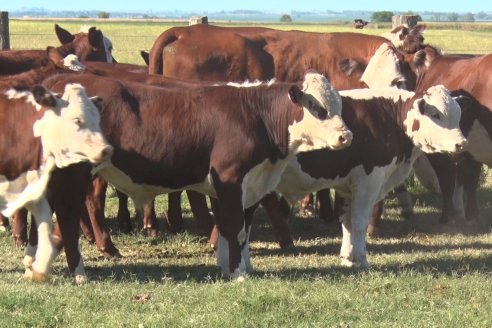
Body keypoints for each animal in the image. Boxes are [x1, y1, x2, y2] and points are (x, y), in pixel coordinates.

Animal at [41, 70, 350, 278]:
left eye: (339, 105)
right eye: (317, 107)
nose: (346, 136)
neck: (256, 115)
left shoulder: (251, 185)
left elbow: (240, 229)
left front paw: (238, 267)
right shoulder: (230, 178)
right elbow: (234, 227)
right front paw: (238, 273)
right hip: (75, 173)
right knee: (68, 215)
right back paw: (79, 271)